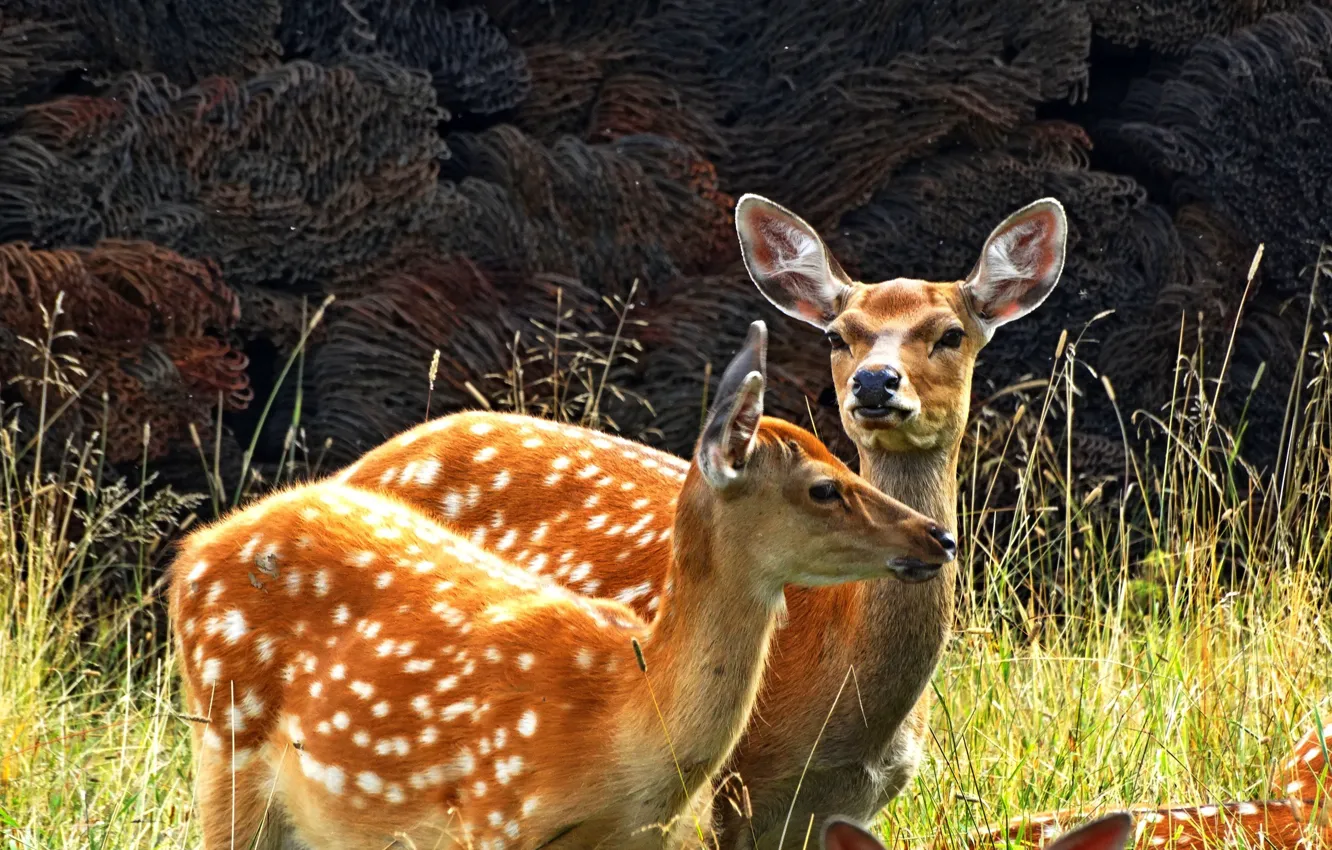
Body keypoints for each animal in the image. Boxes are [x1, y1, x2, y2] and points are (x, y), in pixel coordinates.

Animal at [169, 319, 960, 850]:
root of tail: (192, 552)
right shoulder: (491, 815)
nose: (937, 536)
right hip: (227, 753)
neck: (623, 719)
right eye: (824, 487)